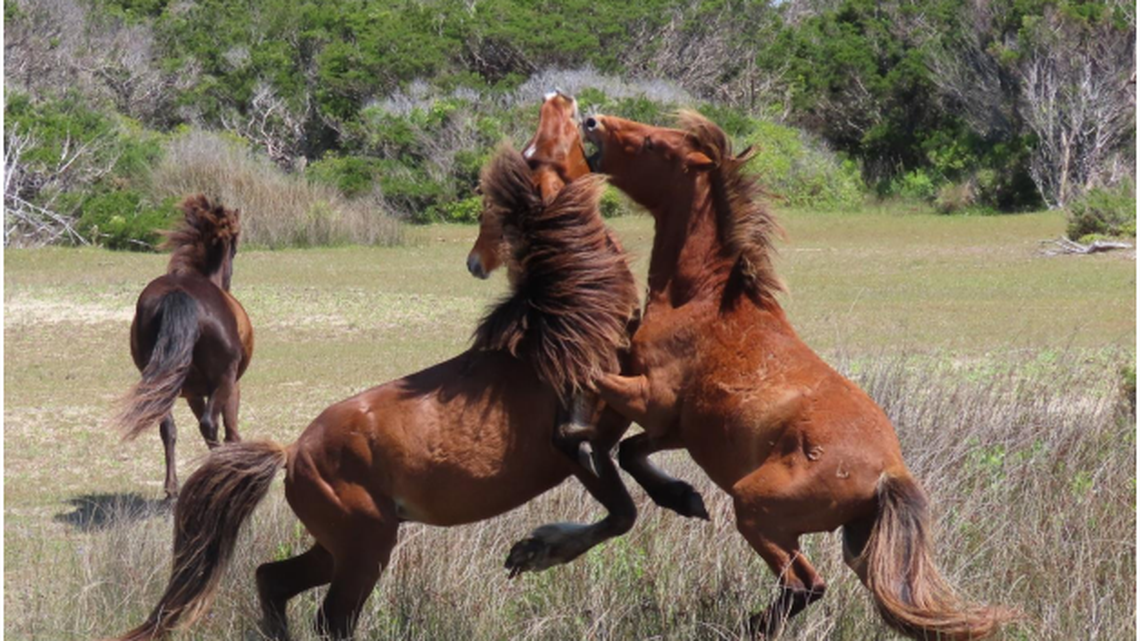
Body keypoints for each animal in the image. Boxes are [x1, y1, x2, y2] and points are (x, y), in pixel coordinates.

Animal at [110, 194, 253, 500]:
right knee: (210, 426)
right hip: (222, 380)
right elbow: (231, 432)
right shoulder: (231, 385)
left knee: (168, 427)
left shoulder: (192, 393)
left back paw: (173, 488)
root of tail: (179, 293)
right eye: (235, 247)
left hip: (163, 383)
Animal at [582, 111, 1014, 639]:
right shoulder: (677, 429)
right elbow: (629, 451)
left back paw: (748, 626)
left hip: (755, 511)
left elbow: (596, 389)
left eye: (650, 143)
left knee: (806, 584)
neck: (701, 298)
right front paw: (682, 498)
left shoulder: (649, 399)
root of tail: (888, 473)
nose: (591, 120)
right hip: (857, 547)